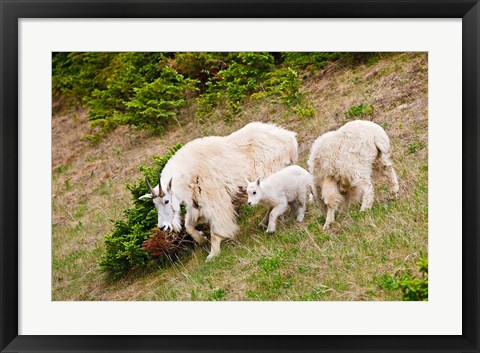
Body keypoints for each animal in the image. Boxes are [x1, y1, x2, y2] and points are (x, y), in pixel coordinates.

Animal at [139, 122, 296, 260]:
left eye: (166, 201)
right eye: (155, 204)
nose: (162, 227)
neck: (188, 177)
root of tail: (289, 139)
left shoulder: (215, 202)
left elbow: (215, 231)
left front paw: (212, 254)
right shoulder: (197, 205)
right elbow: (189, 226)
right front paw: (202, 239)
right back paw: (264, 223)